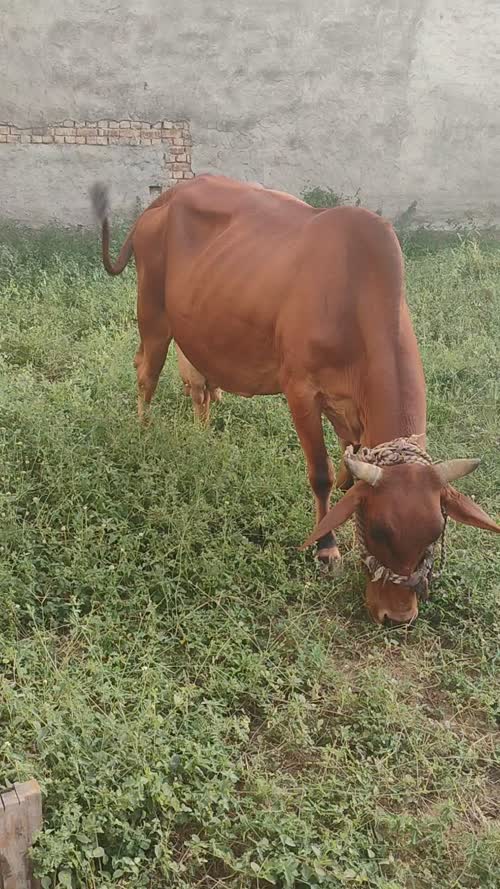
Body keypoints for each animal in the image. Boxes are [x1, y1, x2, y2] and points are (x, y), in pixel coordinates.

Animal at [90, 174, 499, 624]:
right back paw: (144, 432)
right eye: (377, 528)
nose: (398, 616)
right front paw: (327, 549)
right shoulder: (301, 391)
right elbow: (321, 473)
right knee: (145, 371)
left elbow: (349, 464)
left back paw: (203, 431)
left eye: (436, 531)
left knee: (197, 381)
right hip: (152, 314)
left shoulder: (348, 408)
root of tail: (170, 195)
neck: (354, 297)